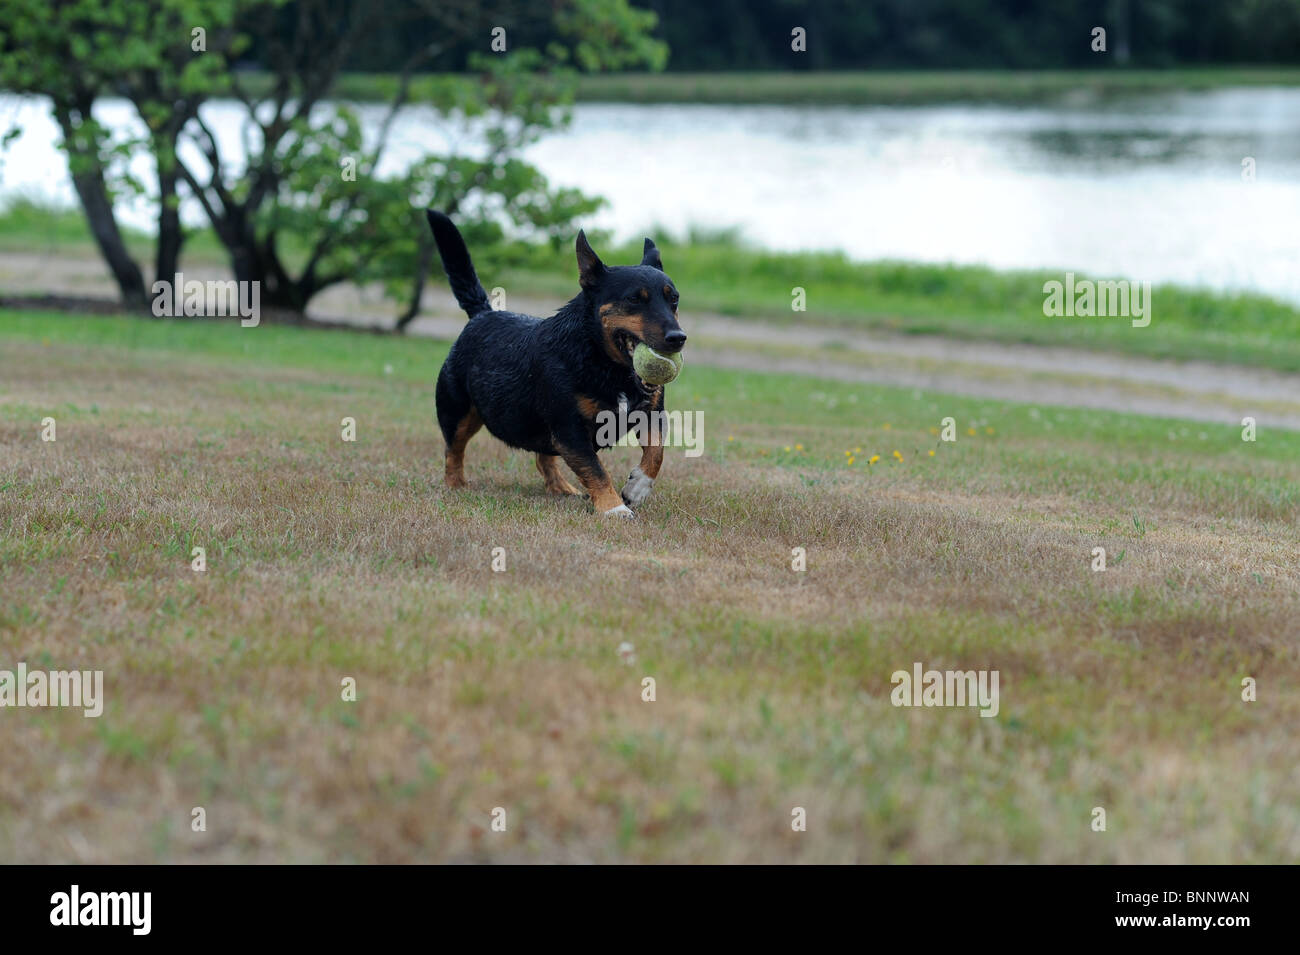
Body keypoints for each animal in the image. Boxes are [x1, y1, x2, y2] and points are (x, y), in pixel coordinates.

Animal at [426, 211, 691, 519]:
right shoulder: (569, 429)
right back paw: (455, 484)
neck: (601, 361)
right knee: (453, 449)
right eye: (634, 299)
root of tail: (482, 314)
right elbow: (596, 469)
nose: (678, 338)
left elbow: (656, 453)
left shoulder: (652, 414)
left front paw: (637, 488)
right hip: (458, 411)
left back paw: (560, 488)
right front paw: (613, 507)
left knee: (544, 457)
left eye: (674, 299)